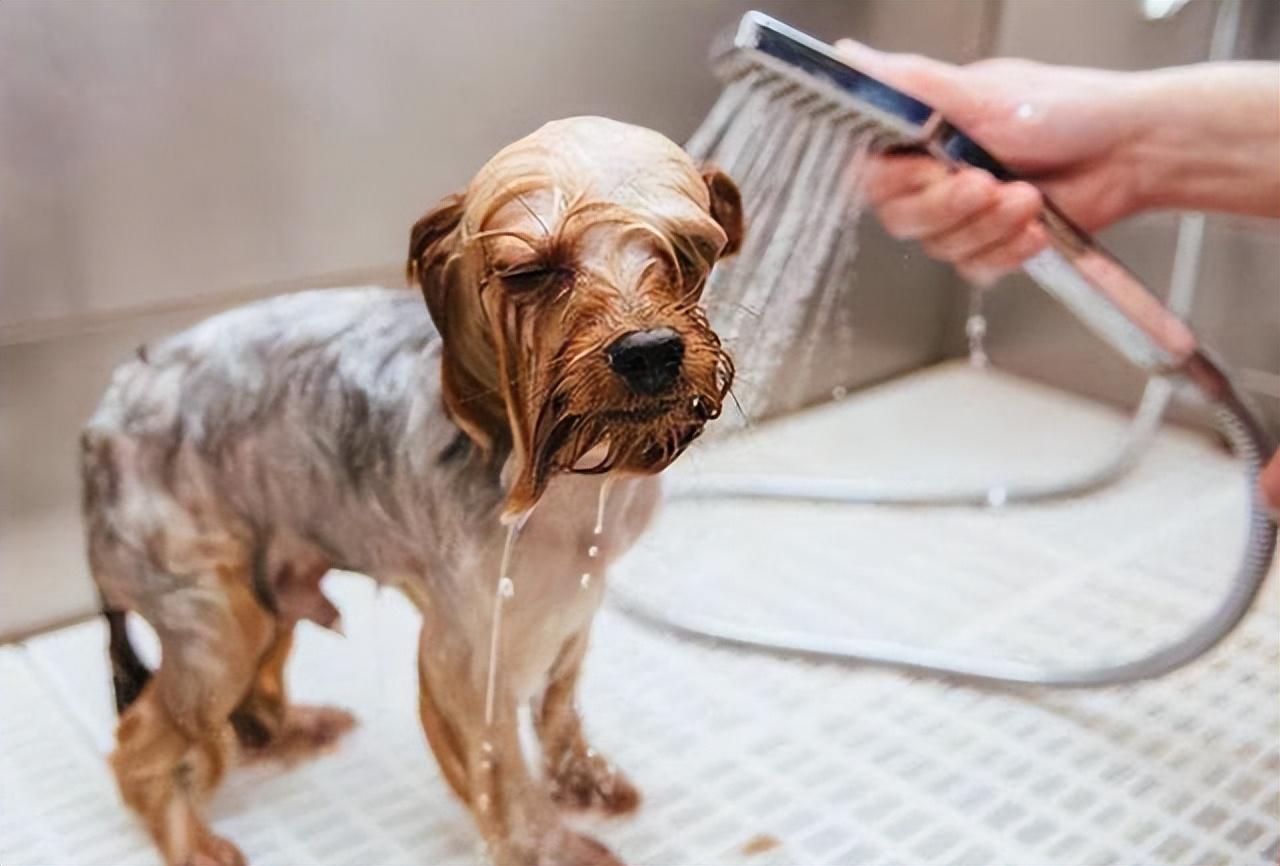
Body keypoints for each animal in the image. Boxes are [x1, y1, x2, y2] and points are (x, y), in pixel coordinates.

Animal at [82, 116, 742, 864]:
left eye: (688, 252)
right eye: (531, 273)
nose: (649, 351)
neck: (560, 471)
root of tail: (107, 413)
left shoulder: (578, 594)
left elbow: (558, 705)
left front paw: (587, 782)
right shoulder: (468, 647)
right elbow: (500, 767)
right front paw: (549, 846)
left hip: (263, 586)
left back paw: (293, 729)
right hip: (213, 617)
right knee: (139, 744)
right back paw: (194, 843)